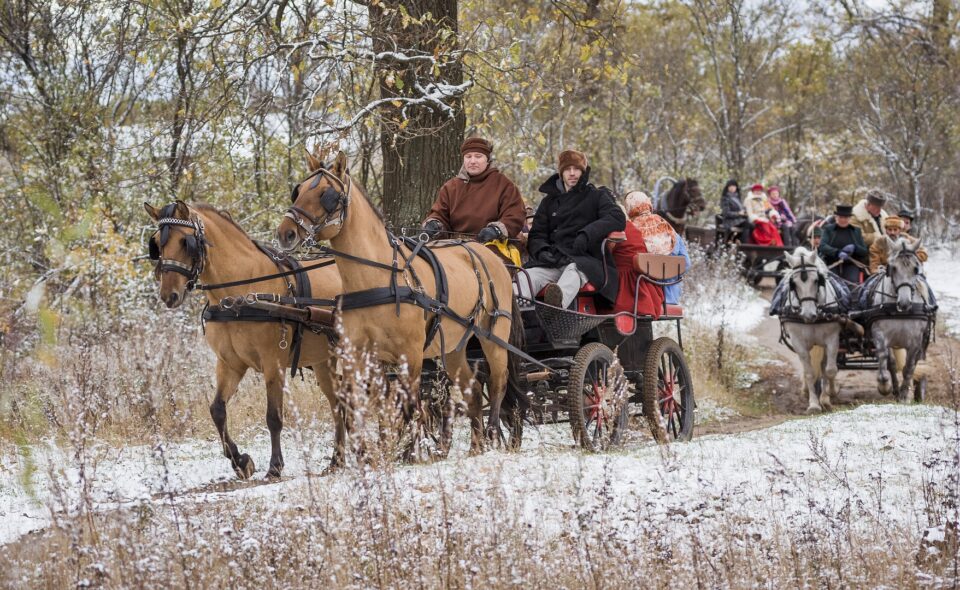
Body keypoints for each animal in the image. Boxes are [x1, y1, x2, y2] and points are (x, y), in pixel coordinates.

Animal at [141, 201, 340, 478]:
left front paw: (275, 466)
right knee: (340, 405)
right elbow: (217, 410)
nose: (169, 295)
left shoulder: (273, 363)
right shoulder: (230, 364)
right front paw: (241, 461)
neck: (238, 295)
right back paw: (338, 460)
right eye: (158, 244)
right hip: (324, 363)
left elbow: (273, 417)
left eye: (185, 242)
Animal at [274, 150, 524, 456]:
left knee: (498, 383)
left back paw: (492, 435)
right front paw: (376, 450)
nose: (285, 233)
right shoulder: (364, 356)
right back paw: (475, 447)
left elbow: (411, 405)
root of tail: (485, 253)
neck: (378, 278)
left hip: (494, 336)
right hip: (454, 346)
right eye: (298, 191)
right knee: (473, 390)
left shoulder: (411, 354)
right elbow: (369, 404)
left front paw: (412, 451)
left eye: (327, 195)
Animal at [776, 247, 844, 414]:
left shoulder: (832, 339)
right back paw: (808, 391)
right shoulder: (798, 342)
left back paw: (827, 395)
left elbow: (830, 370)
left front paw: (829, 396)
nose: (808, 315)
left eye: (817, 280)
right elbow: (810, 373)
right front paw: (813, 404)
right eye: (793, 283)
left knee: (825, 366)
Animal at [868, 238, 932, 404]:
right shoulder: (880, 334)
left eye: (916, 269)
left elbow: (909, 367)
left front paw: (904, 394)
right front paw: (885, 386)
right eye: (893, 268)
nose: (904, 303)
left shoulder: (915, 340)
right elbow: (885, 358)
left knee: (915, 363)